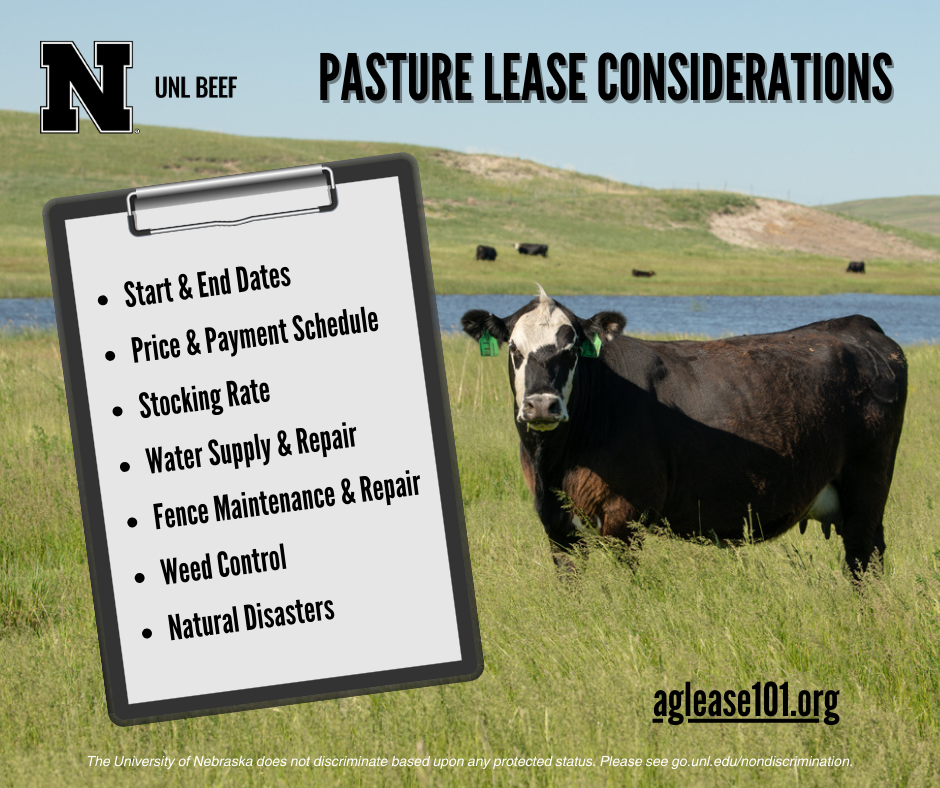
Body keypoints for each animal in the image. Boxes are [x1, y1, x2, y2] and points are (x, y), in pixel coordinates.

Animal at [461, 288, 907, 580]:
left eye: (571, 351)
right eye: (514, 349)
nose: (541, 405)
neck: (556, 463)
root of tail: (857, 326)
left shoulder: (624, 517)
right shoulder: (557, 526)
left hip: (867, 486)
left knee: (863, 560)